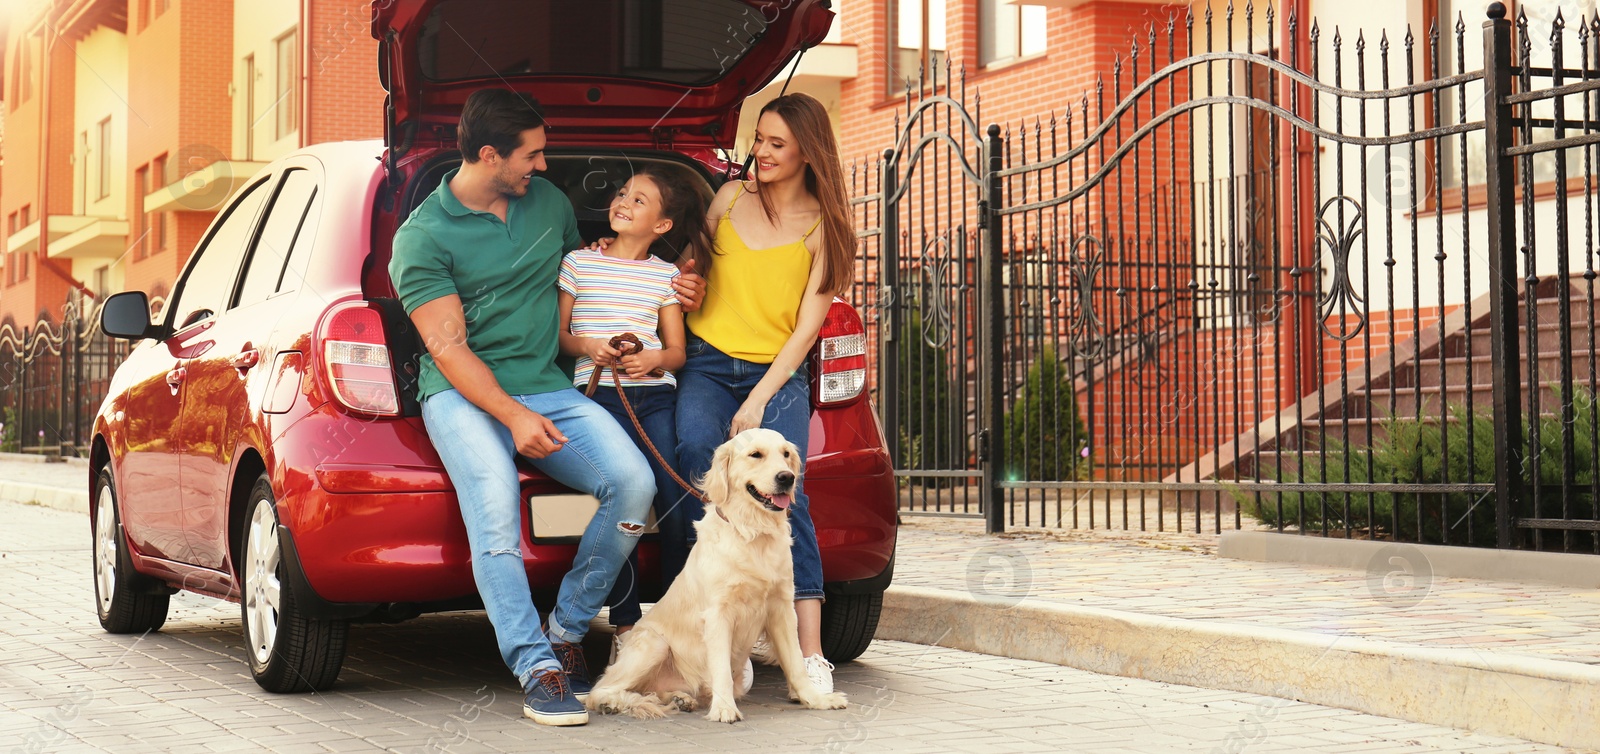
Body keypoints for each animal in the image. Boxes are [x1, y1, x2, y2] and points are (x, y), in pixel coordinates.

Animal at [582, 429, 844, 723]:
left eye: (786, 454)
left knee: (650, 690)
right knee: (601, 689)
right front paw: (724, 708)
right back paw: (613, 702)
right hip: (654, 644)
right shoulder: (718, 614)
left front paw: (816, 699)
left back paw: (679, 698)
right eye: (755, 454)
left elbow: (796, 662)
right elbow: (720, 669)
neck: (752, 532)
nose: (786, 477)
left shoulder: (782, 609)